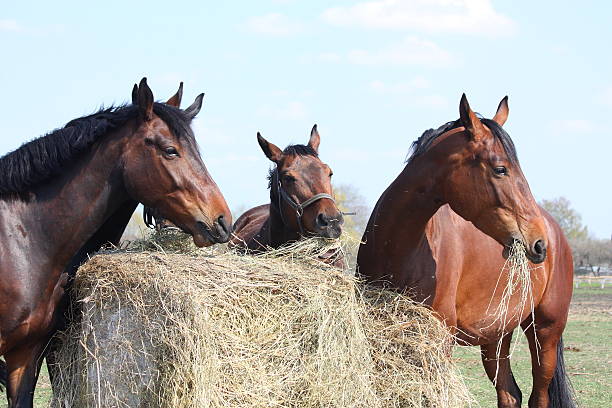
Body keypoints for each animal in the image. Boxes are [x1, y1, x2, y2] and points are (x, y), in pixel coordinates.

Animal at [356, 95, 576, 408]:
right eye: (500, 169)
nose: (538, 242)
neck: (399, 249)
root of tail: (556, 231)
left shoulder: (439, 342)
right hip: (497, 336)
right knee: (510, 394)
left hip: (545, 331)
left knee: (539, 396)